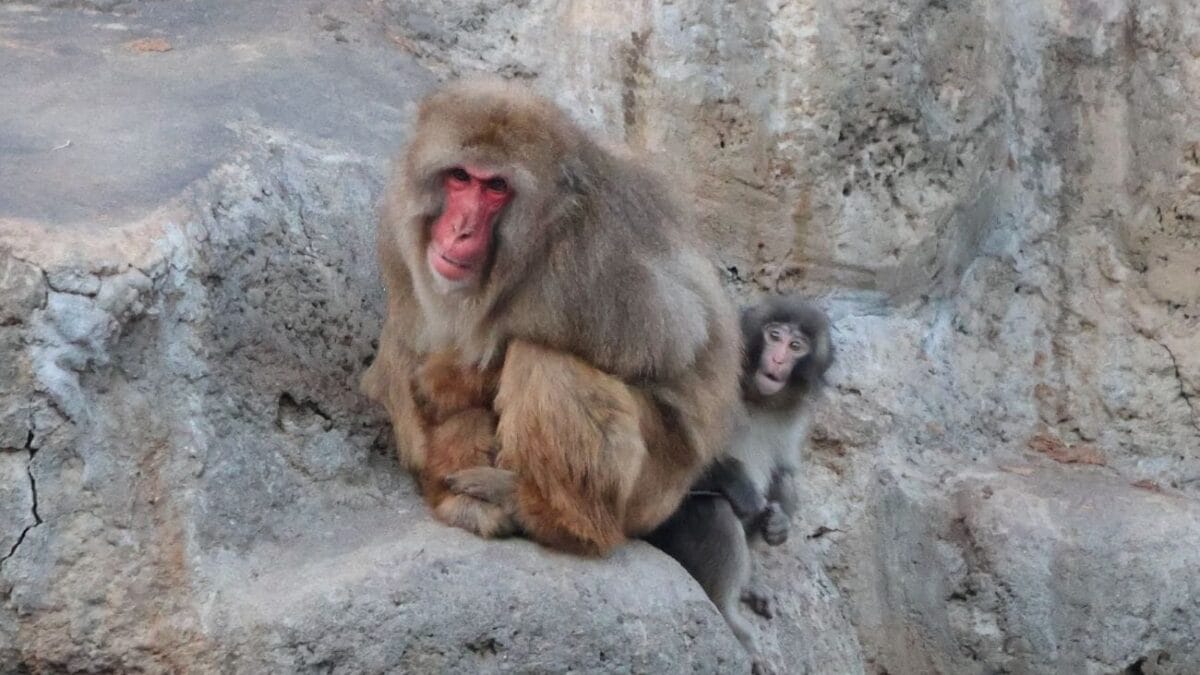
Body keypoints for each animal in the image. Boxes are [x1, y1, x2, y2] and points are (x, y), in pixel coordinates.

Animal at [359, 77, 742, 557]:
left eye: (496, 187)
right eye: (461, 177)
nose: (461, 230)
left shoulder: (594, 258)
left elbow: (671, 341)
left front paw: (451, 378)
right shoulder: (398, 231)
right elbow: (403, 365)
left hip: (652, 492)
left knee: (542, 358)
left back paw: (555, 518)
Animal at [645, 296, 833, 674]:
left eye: (796, 346)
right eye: (774, 335)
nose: (777, 359)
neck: (757, 396)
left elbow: (785, 472)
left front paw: (780, 525)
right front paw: (740, 485)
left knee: (783, 481)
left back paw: (748, 584)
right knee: (713, 508)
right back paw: (729, 615)